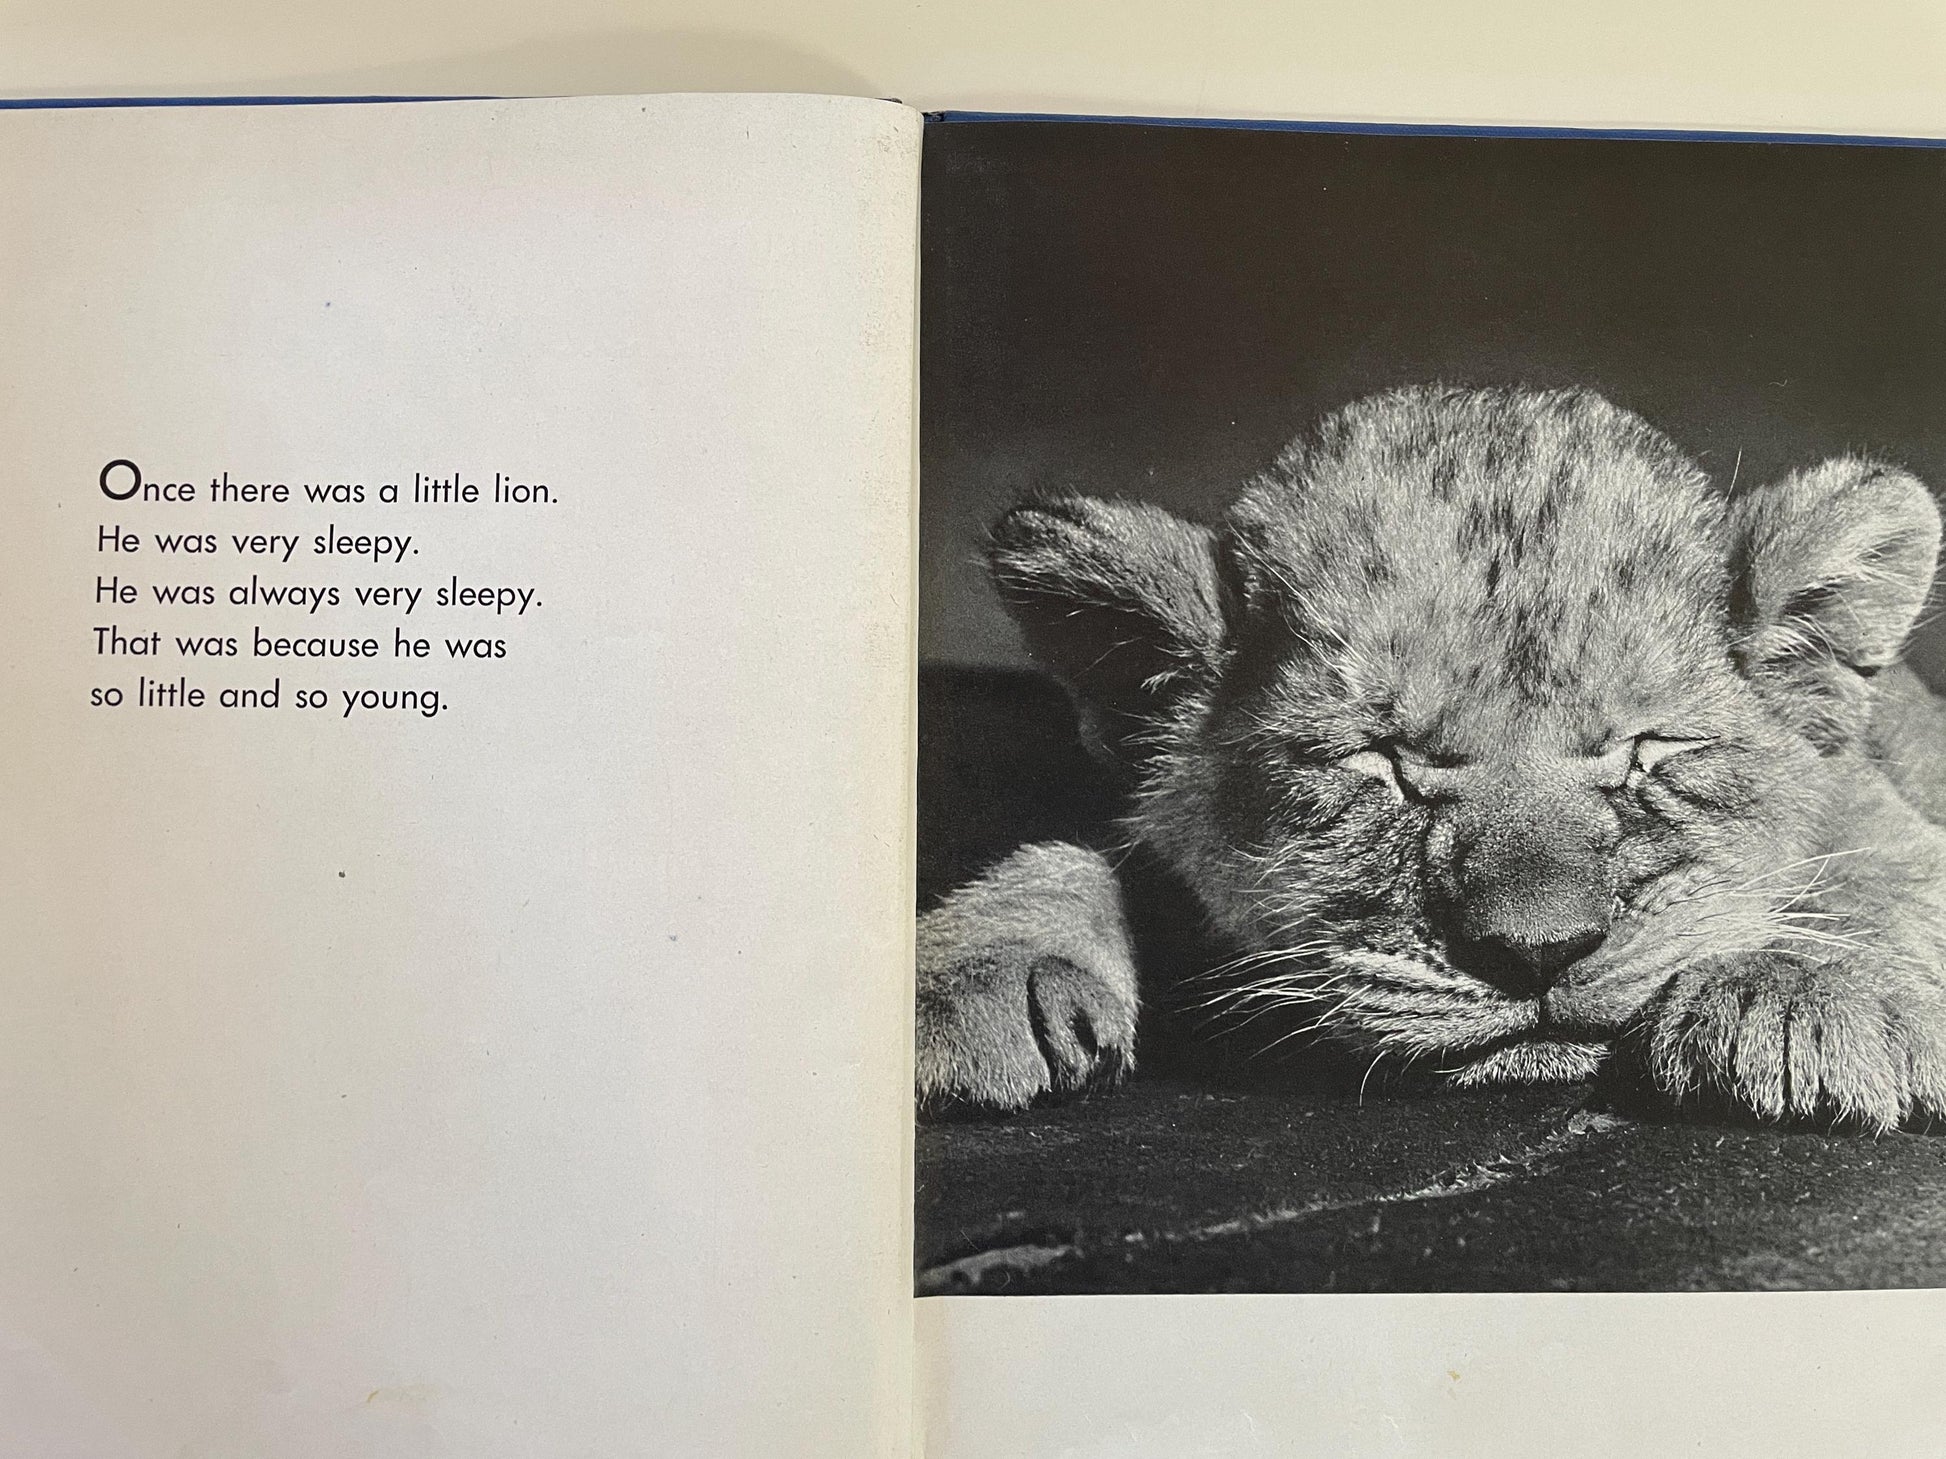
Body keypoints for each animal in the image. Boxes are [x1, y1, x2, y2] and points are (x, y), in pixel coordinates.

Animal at [917, 385, 1946, 1131]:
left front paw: (1808, 995)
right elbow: (1073, 852)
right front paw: (976, 980)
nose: (1536, 952)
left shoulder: (1875, 794)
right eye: (1381, 762)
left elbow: (1880, 869)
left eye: (1644, 751)